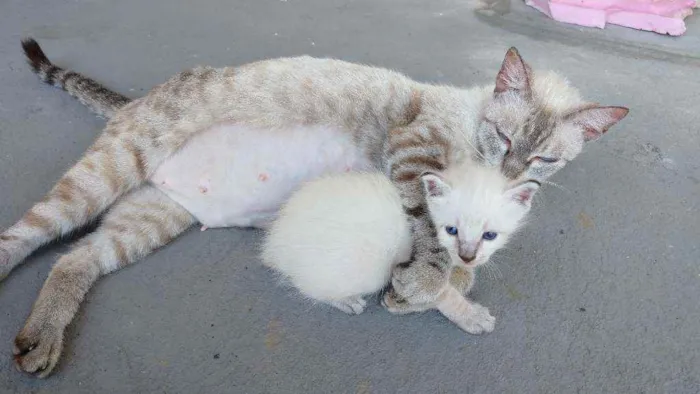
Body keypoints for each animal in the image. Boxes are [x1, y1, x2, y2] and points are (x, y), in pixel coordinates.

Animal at [260, 165, 540, 334]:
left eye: (490, 235)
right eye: (451, 230)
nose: (467, 256)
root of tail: (275, 242)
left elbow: (461, 277)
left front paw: (461, 273)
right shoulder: (411, 270)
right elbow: (439, 292)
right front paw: (470, 315)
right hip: (363, 268)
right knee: (310, 285)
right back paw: (346, 300)